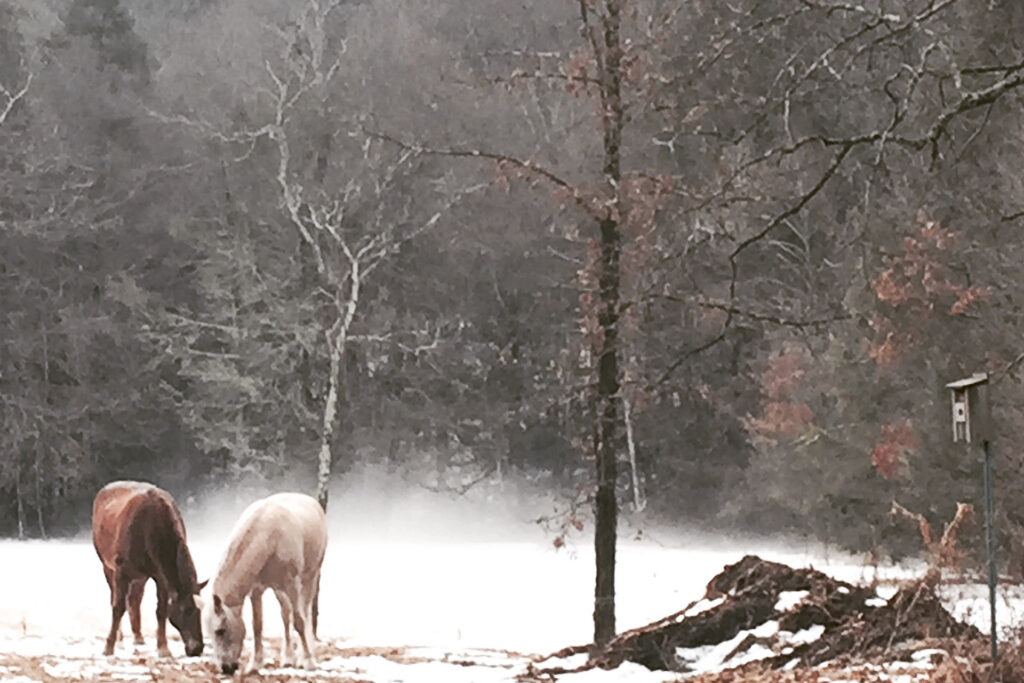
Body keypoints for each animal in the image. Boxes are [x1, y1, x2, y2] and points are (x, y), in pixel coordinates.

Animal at [91, 481, 204, 655]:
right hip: (107, 567)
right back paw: (120, 639)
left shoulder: (161, 576)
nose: (197, 649)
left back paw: (138, 636)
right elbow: (118, 607)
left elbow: (161, 610)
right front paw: (108, 646)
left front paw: (163, 647)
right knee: (116, 598)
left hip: (140, 576)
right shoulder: (121, 572)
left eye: (201, 611)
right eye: (186, 610)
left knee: (135, 600)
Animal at [201, 493, 325, 675]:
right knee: (285, 615)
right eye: (209, 634)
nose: (226, 668)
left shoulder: (292, 585)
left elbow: (299, 622)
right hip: (279, 590)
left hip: (310, 578)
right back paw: (288, 658)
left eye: (220, 631)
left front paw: (309, 662)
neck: (269, 536)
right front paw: (256, 664)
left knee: (306, 613)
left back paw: (306, 656)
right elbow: (257, 625)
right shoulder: (257, 590)